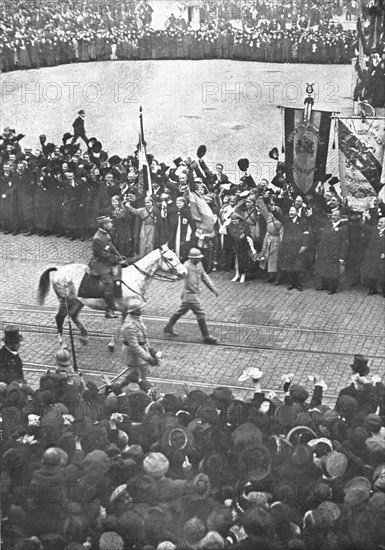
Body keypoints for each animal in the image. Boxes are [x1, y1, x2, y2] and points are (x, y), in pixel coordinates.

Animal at [36, 248, 187, 352]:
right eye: (170, 258)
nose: (184, 272)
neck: (135, 279)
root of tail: (59, 269)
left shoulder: (130, 310)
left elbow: (130, 327)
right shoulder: (132, 309)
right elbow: (137, 328)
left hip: (78, 302)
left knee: (73, 315)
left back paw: (84, 336)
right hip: (66, 301)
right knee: (59, 318)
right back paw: (63, 344)